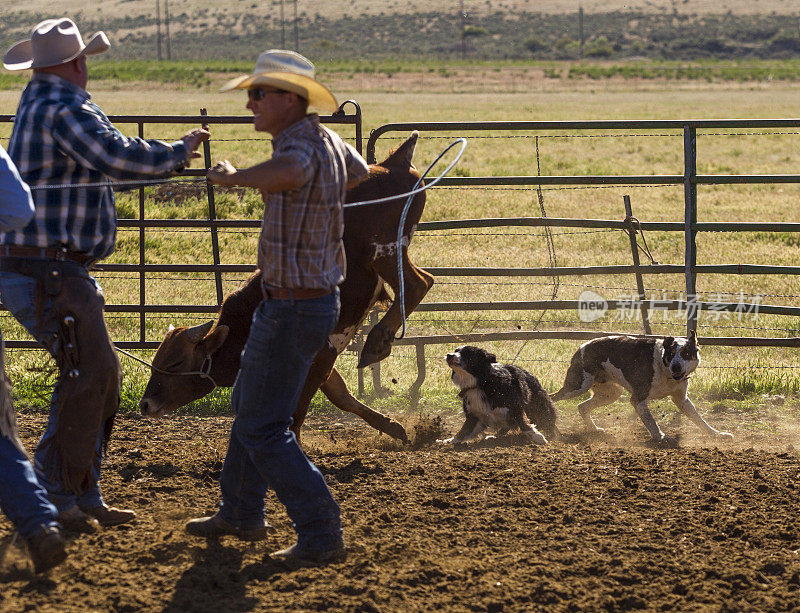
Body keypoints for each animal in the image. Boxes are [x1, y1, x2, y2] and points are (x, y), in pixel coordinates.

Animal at [552, 332, 732, 448]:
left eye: (686, 353)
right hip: (577, 386)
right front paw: (662, 437)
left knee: (582, 406)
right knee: (553, 398)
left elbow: (699, 419)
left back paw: (594, 429)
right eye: (672, 353)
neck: (664, 368)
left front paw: (717, 434)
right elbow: (651, 422)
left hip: (611, 393)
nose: (676, 366)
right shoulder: (638, 398)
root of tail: (582, 346)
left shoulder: (681, 399)